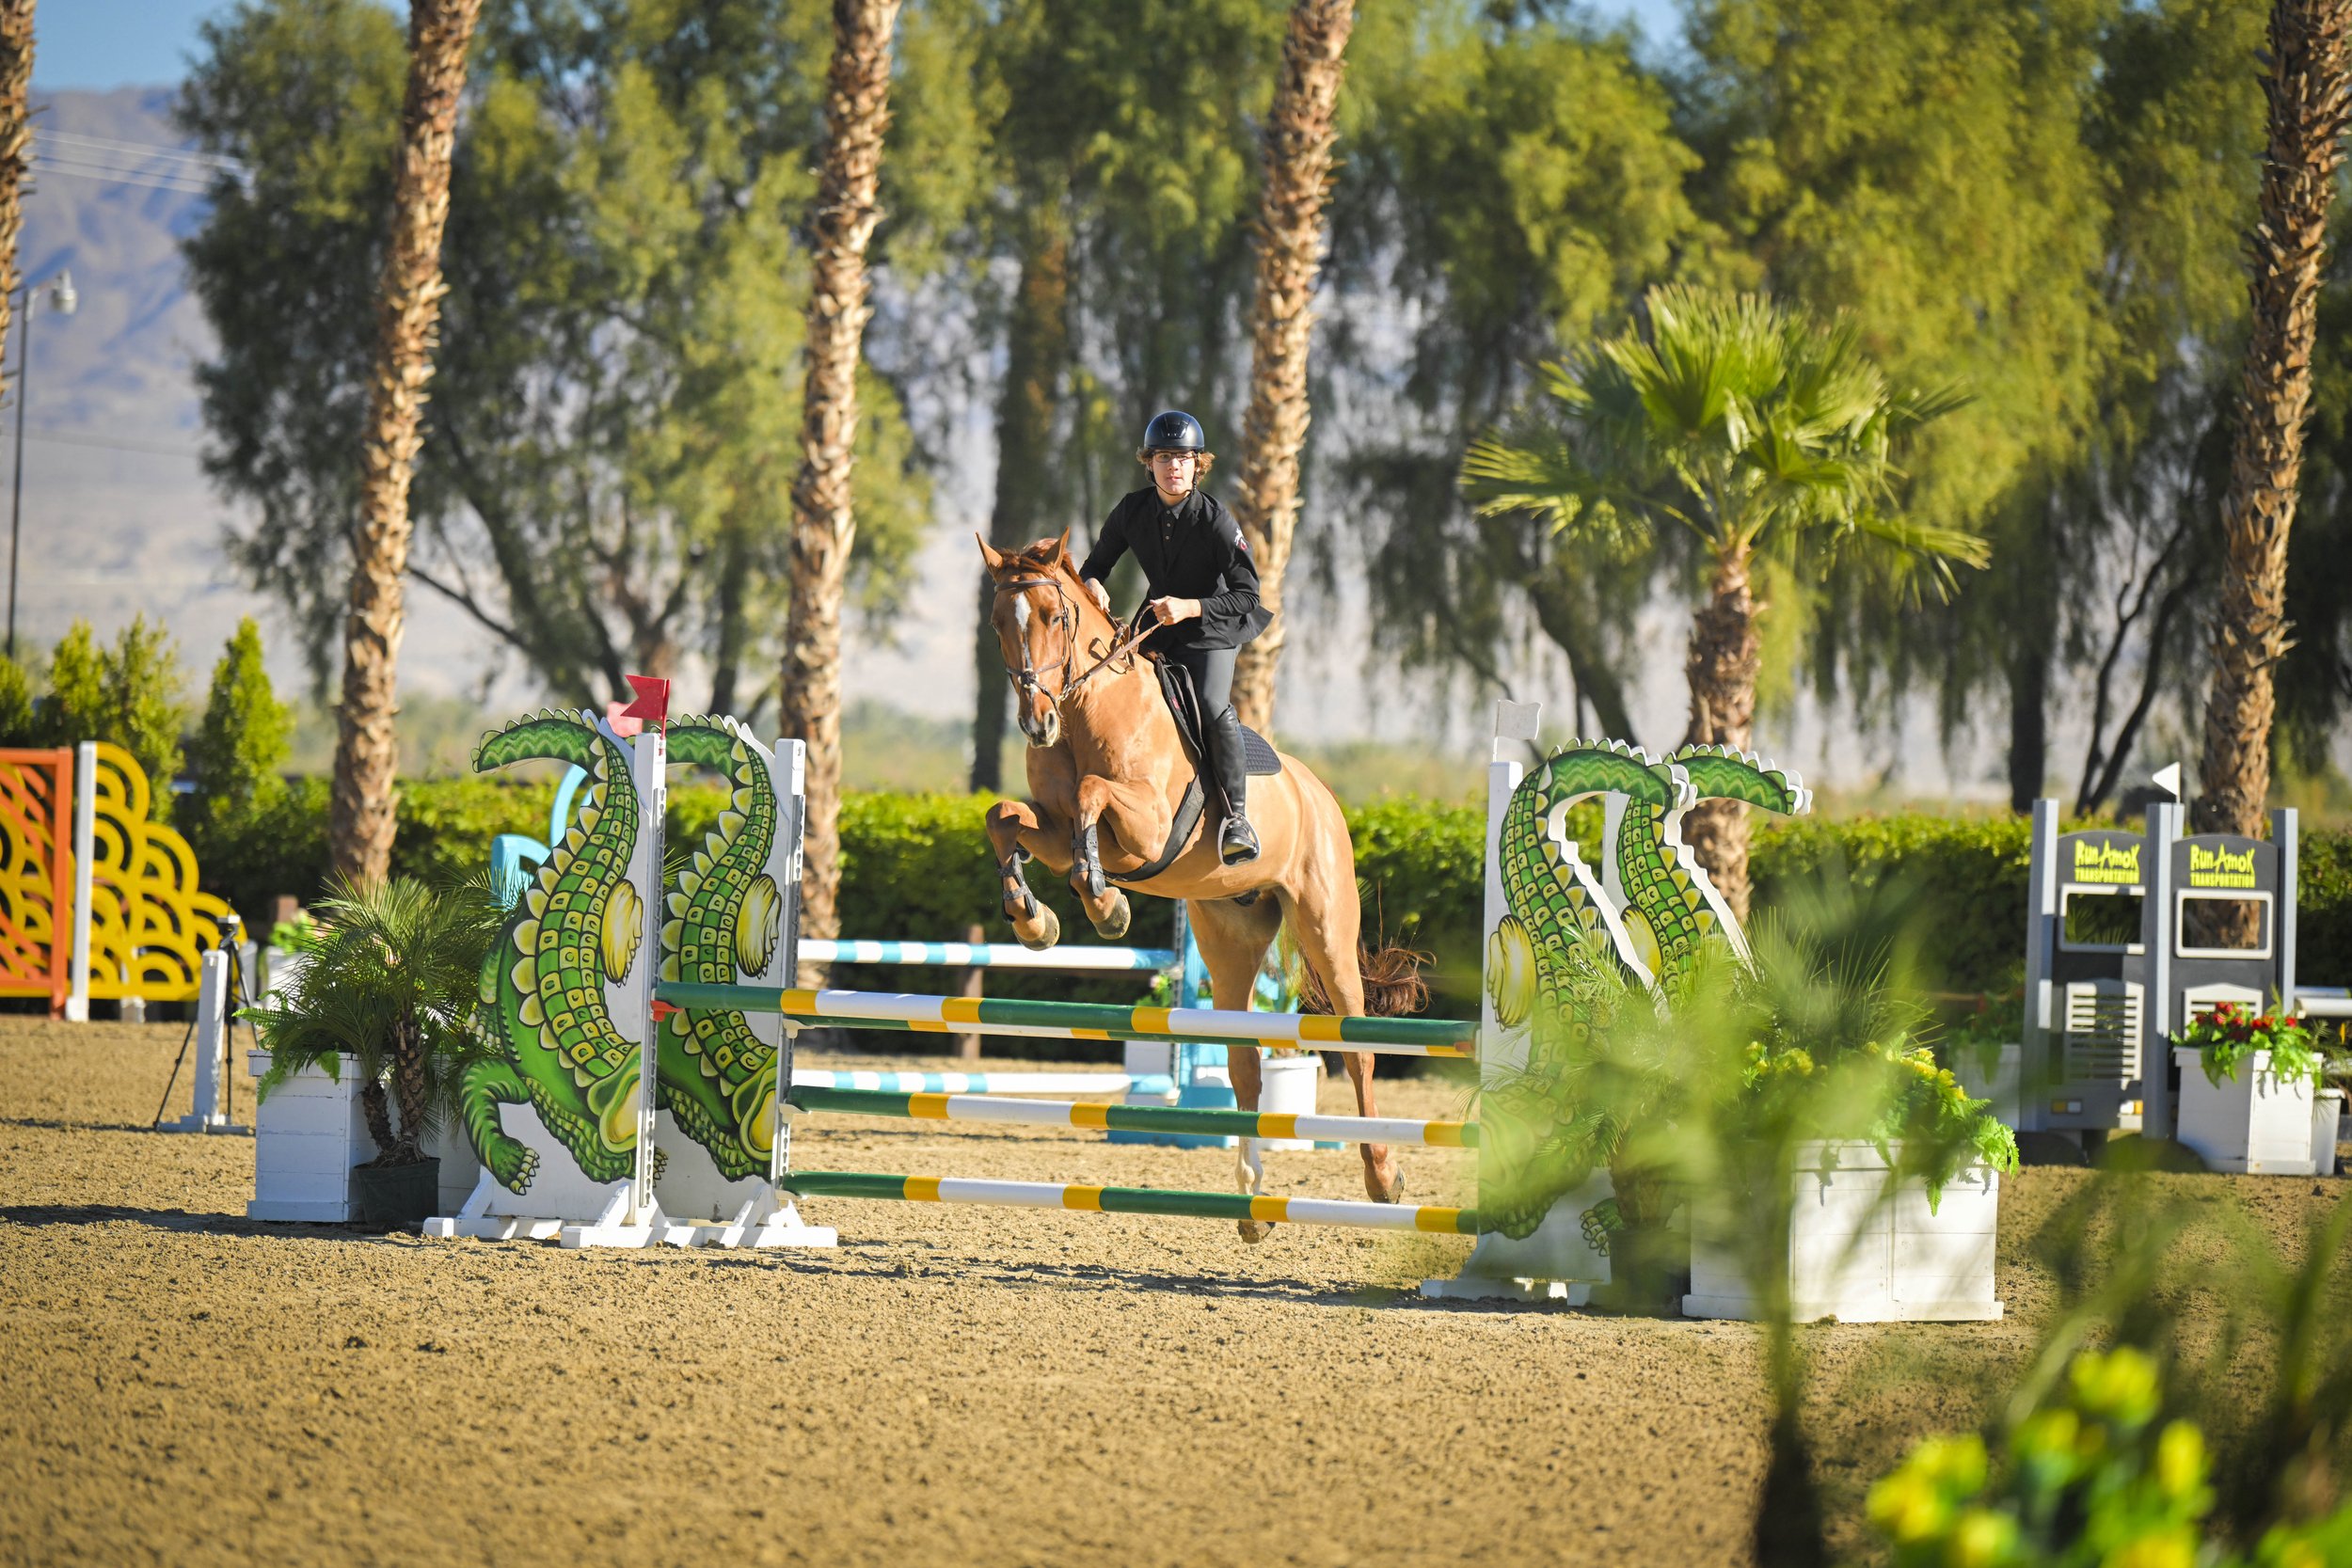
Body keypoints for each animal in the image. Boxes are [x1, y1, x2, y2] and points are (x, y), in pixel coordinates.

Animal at [976, 531, 1424, 1239]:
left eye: (1052, 616)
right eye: (998, 624)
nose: (1035, 722)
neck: (1087, 714)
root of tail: (1321, 794)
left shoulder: (1148, 826)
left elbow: (1091, 794)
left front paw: (1104, 903)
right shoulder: (1050, 824)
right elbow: (1006, 817)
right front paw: (1035, 917)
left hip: (1325, 928)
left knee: (1358, 1051)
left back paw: (1382, 1176)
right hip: (1228, 943)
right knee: (1244, 1065)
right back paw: (1251, 1199)